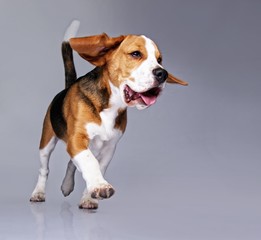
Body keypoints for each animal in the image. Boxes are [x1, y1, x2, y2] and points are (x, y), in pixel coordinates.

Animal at [30, 20, 187, 208]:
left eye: (159, 60)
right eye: (136, 54)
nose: (162, 73)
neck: (111, 105)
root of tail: (67, 88)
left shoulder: (109, 148)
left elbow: (97, 166)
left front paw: (89, 197)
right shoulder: (77, 138)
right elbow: (90, 162)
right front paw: (100, 186)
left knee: (71, 163)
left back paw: (67, 185)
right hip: (47, 142)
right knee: (44, 169)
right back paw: (38, 192)